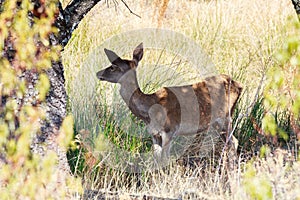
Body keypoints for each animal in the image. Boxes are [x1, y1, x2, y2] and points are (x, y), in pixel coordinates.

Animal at [97, 43, 243, 163]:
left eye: (113, 67)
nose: (98, 73)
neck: (149, 109)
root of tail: (239, 85)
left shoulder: (169, 130)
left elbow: (164, 159)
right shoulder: (154, 134)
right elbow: (156, 158)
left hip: (226, 118)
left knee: (233, 142)